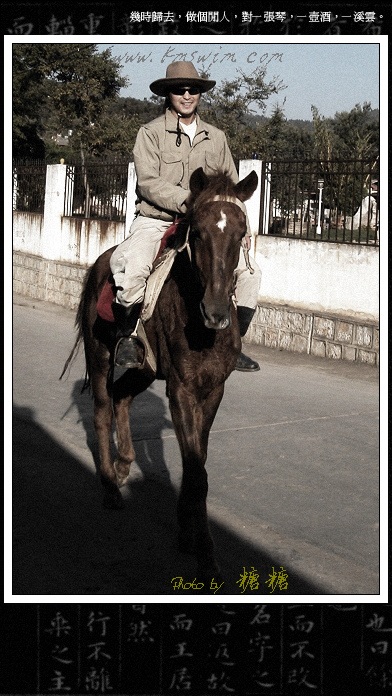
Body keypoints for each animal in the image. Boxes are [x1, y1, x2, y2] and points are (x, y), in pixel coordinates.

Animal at [61, 167, 258, 576]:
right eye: (196, 232)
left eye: (241, 232)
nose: (217, 312)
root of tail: (100, 262)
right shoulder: (180, 390)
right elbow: (197, 474)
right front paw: (206, 555)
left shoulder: (212, 391)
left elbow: (196, 463)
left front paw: (187, 531)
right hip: (99, 356)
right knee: (102, 411)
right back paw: (109, 485)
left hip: (146, 370)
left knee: (122, 399)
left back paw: (123, 464)